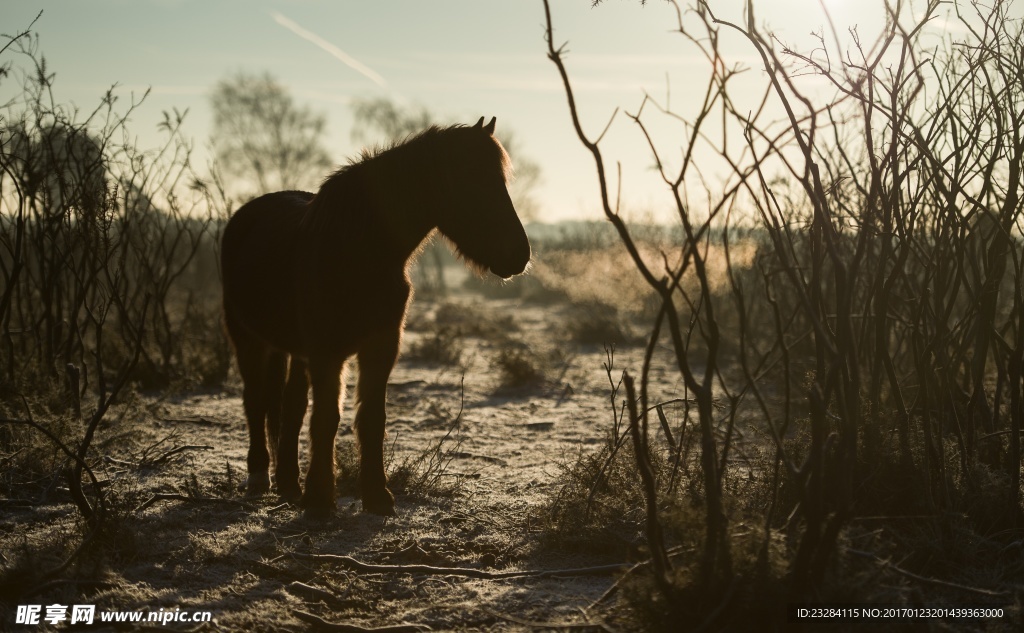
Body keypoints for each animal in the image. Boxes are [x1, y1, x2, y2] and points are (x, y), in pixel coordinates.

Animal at [221, 115, 532, 514]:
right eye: (472, 180)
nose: (520, 254)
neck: (358, 250)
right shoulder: (327, 352)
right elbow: (327, 418)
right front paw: (320, 500)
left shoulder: (381, 346)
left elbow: (371, 418)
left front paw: (376, 495)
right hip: (248, 339)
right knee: (255, 401)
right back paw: (260, 476)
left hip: (293, 350)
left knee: (290, 406)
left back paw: (289, 483)